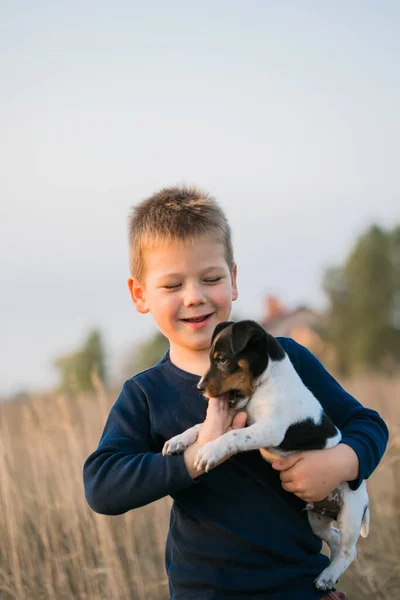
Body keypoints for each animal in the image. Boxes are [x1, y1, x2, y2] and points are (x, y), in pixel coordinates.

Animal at [162, 318, 368, 592]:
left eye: (222, 360)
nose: (199, 388)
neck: (266, 385)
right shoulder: (242, 418)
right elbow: (200, 427)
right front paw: (179, 440)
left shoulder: (270, 428)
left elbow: (233, 437)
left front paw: (210, 451)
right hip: (316, 520)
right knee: (334, 538)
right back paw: (329, 571)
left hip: (350, 514)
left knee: (348, 550)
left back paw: (327, 576)